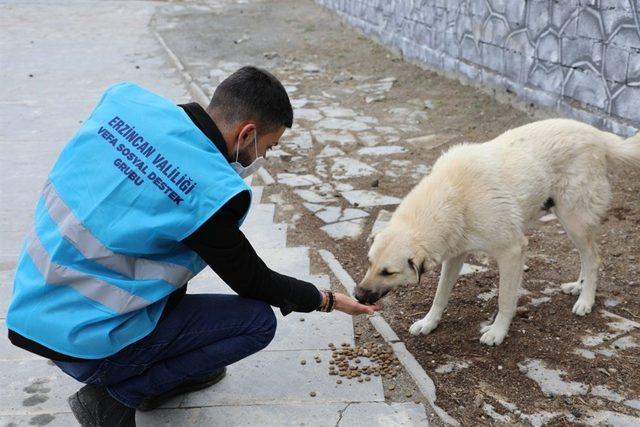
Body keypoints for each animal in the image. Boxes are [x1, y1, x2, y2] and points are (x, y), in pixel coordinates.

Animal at [356, 118, 640, 346]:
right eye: (368, 263)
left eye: (388, 272)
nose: (357, 295)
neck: (453, 194)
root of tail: (596, 134)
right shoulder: (455, 255)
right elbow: (440, 295)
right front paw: (429, 322)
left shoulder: (512, 252)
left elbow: (505, 299)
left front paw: (498, 332)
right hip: (567, 218)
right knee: (585, 255)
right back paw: (577, 287)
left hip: (574, 219)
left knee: (593, 257)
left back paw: (585, 300)